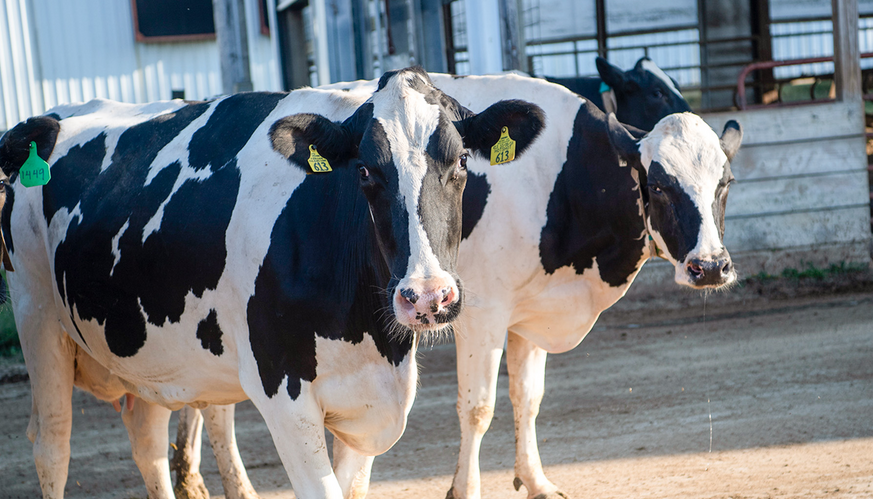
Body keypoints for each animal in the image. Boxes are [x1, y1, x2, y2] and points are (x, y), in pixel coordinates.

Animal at [0, 67, 545, 499]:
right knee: (52, 446)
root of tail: (46, 121)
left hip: (146, 349)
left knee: (147, 441)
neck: (368, 335)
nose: (427, 296)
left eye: (461, 163)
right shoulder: (284, 394)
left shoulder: (368, 400)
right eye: (365, 171)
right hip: (36, 315)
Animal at [172, 72, 740, 499]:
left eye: (725, 183)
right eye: (660, 185)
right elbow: (478, 407)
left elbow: (527, 397)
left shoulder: (526, 312)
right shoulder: (482, 311)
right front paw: (464, 489)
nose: (711, 267)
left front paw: (535, 481)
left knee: (212, 403)